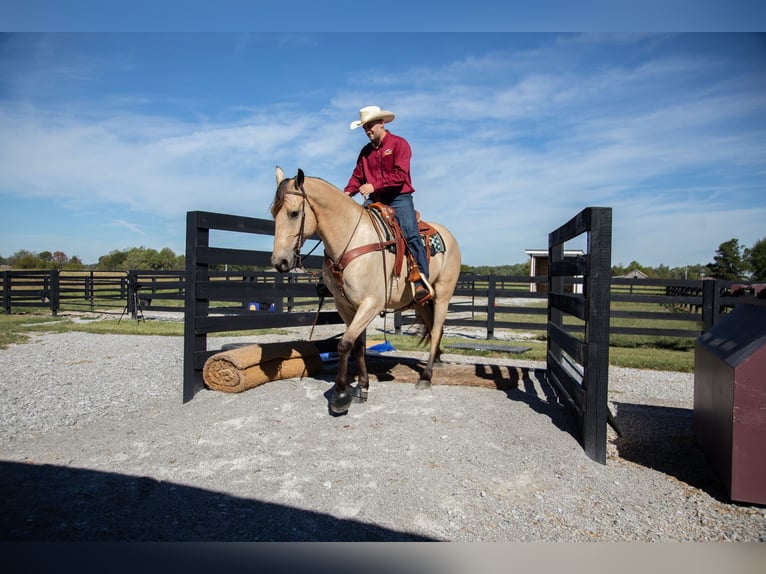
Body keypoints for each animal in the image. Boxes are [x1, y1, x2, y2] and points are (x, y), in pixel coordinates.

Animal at [270, 167, 462, 415]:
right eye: (273, 213)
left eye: (294, 213)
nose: (280, 262)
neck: (350, 241)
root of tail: (448, 236)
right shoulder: (346, 306)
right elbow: (357, 345)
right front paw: (362, 387)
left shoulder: (371, 304)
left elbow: (344, 344)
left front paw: (341, 395)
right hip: (421, 302)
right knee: (432, 326)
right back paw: (436, 359)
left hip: (443, 294)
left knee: (437, 329)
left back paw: (426, 377)